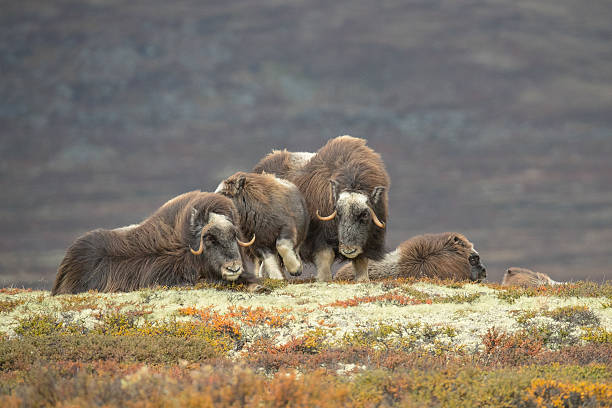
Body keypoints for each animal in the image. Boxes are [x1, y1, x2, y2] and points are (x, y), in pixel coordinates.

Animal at [255, 135, 390, 282]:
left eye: (365, 214)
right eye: (338, 213)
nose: (348, 250)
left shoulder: (368, 239)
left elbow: (361, 261)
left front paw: (363, 279)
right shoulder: (319, 236)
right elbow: (325, 256)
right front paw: (324, 278)